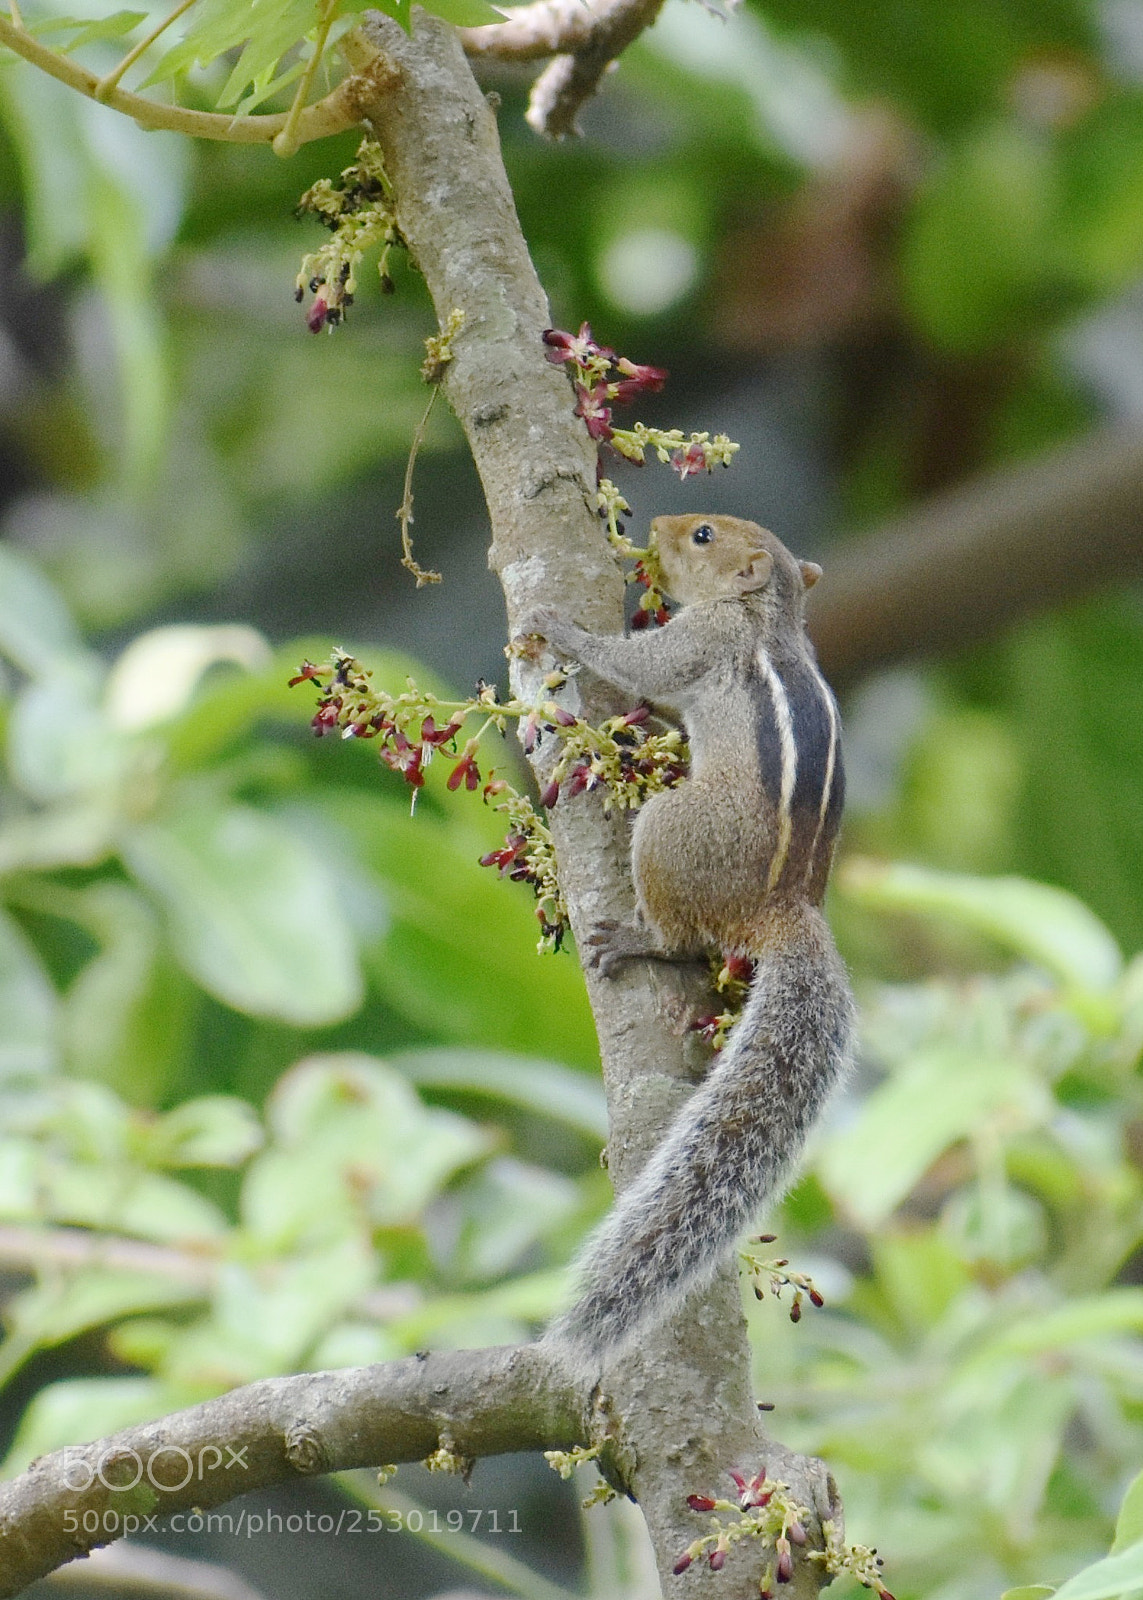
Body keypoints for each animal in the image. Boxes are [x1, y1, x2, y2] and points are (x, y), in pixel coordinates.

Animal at [518, 512, 855, 1362]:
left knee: (676, 935)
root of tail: (781, 911)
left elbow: (638, 665)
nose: (657, 527)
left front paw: (561, 629)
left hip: (669, 830)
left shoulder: (698, 641)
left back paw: (634, 941)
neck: (766, 615)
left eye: (701, 534)